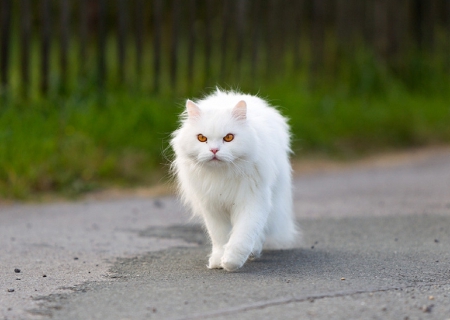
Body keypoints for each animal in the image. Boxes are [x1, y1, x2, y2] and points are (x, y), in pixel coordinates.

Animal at [170, 89, 298, 272]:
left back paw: (253, 251)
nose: (214, 150)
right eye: (201, 138)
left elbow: (242, 235)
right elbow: (220, 237)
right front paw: (218, 261)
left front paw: (231, 262)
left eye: (229, 138)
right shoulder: (212, 206)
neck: (222, 175)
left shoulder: (252, 202)